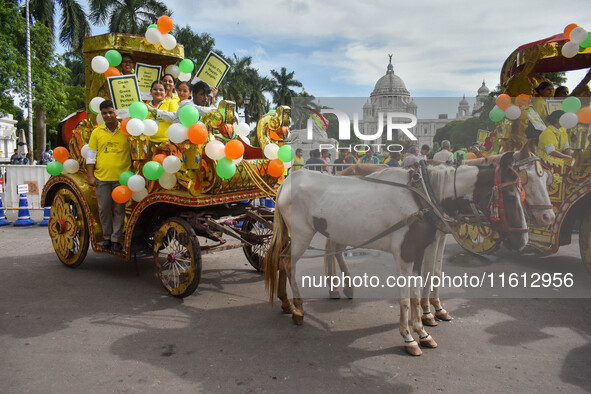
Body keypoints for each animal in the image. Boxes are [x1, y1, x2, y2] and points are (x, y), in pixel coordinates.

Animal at [266, 150, 528, 354]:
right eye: (510, 195)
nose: (523, 239)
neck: (421, 198)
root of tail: (288, 182)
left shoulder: (419, 251)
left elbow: (416, 293)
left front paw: (422, 331)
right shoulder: (404, 253)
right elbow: (404, 298)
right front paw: (409, 337)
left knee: (282, 259)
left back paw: (288, 303)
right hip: (302, 235)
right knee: (289, 263)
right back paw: (299, 309)